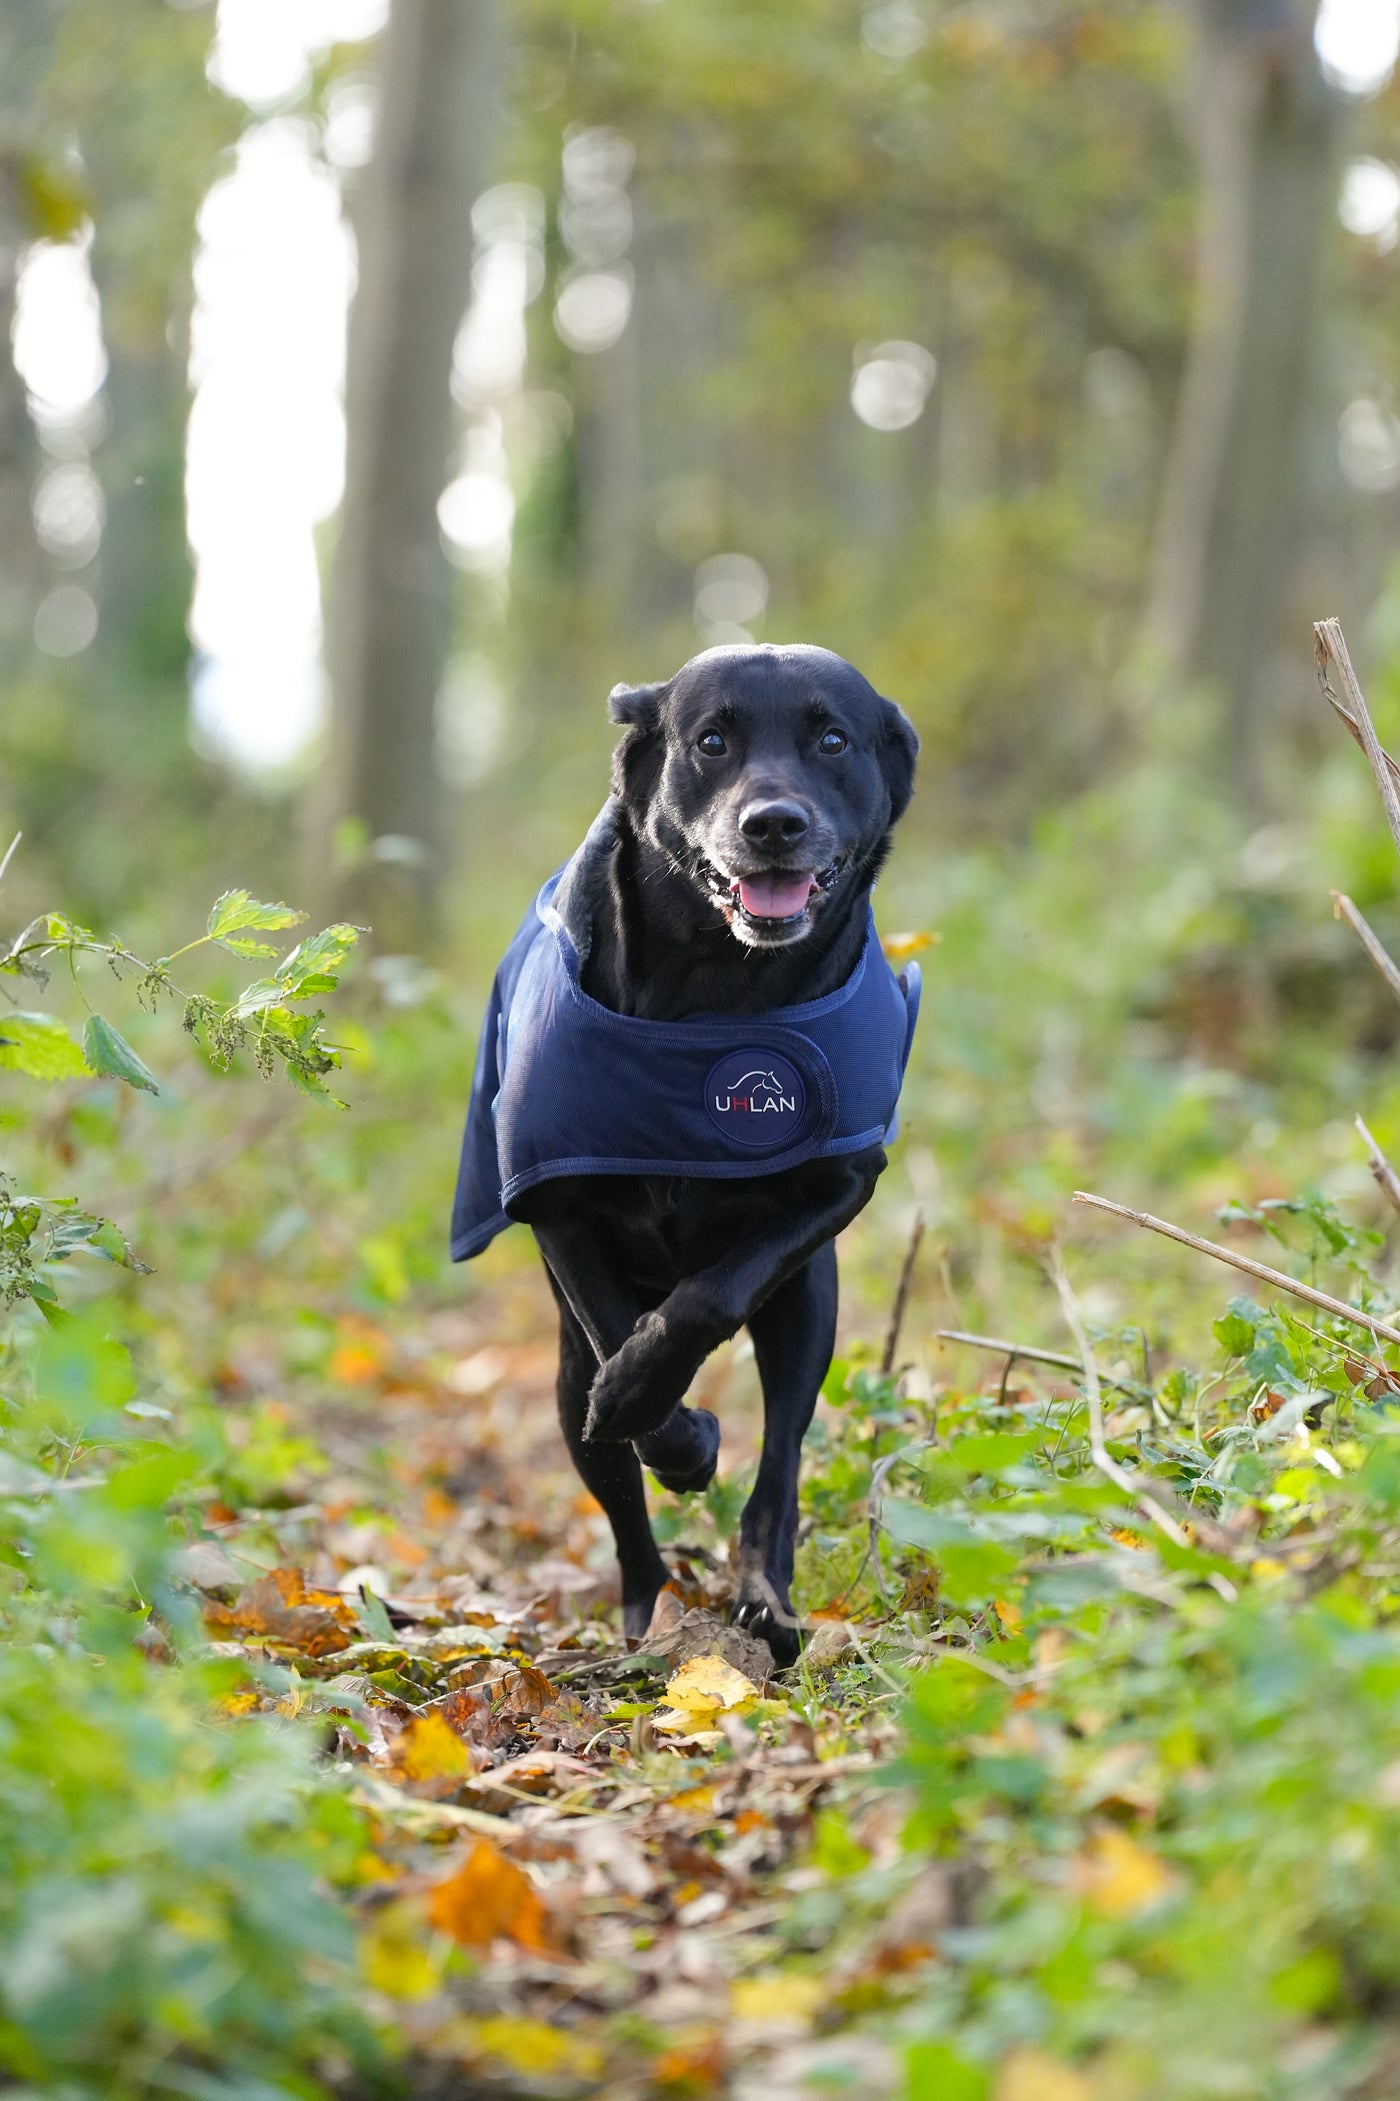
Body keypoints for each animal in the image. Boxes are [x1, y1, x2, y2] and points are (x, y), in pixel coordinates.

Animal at [447, 638, 916, 1655]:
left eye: (832, 739)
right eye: (710, 741)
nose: (772, 823)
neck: (720, 989)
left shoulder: (838, 1184)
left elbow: (708, 1296)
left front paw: (674, 1400)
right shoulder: (559, 1204)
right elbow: (620, 1356)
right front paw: (674, 1431)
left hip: (809, 1314)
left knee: (780, 1464)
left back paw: (766, 1604)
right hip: (563, 1372)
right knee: (618, 1494)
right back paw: (648, 1608)